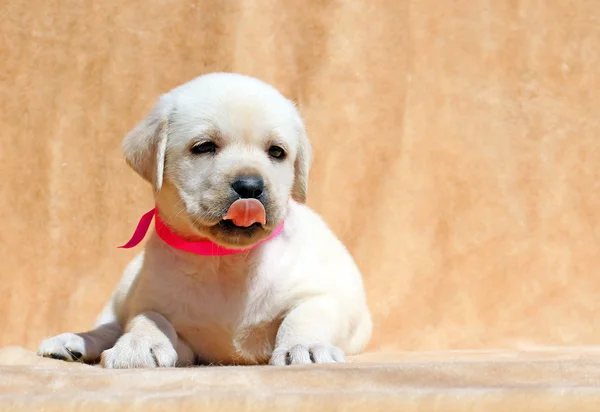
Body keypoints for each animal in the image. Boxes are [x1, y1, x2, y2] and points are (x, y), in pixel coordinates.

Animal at [36, 71, 370, 366]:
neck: (225, 260)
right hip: (124, 288)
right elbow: (147, 318)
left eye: (277, 152)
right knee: (110, 325)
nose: (250, 187)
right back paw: (70, 342)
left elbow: (304, 317)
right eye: (204, 147)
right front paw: (139, 345)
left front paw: (306, 347)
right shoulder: (160, 312)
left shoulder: (317, 294)